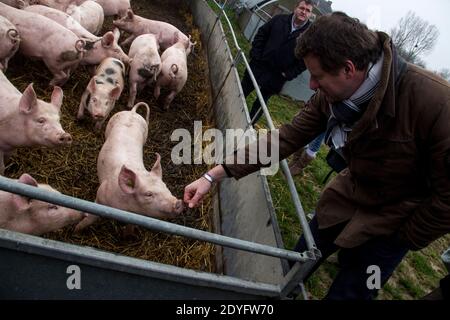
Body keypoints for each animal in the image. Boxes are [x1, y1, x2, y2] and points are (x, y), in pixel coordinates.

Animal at [74, 102, 184, 230]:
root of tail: (132, 112)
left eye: (165, 187)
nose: (178, 203)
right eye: (148, 194)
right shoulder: (101, 197)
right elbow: (89, 219)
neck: (127, 208)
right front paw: (76, 229)